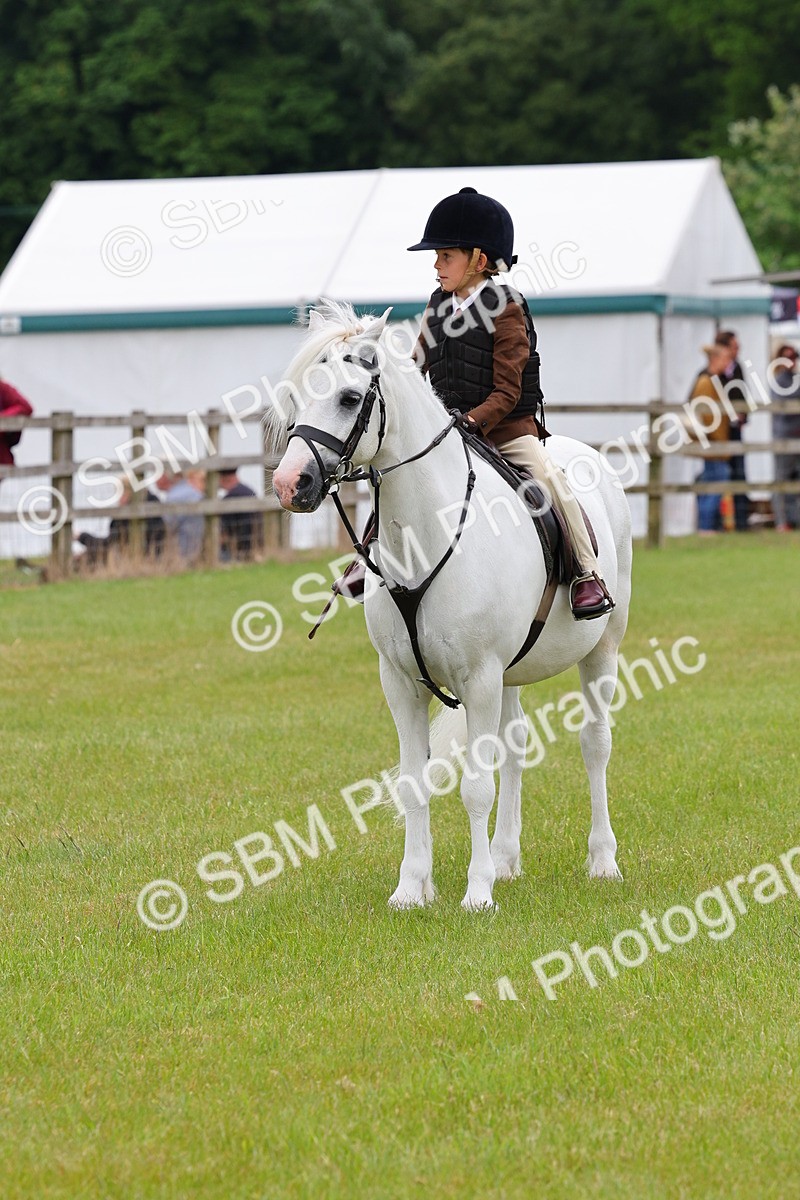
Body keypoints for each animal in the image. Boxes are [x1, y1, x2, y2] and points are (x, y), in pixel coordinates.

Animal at [269, 301, 632, 911]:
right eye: (297, 396)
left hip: (600, 649)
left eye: (348, 396)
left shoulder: (479, 677)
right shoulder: (402, 682)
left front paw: (477, 892)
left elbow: (475, 787)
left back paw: (602, 860)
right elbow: (414, 784)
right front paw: (412, 887)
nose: (290, 483)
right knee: (515, 747)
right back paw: (507, 859)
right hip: (510, 674)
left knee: (595, 745)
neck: (426, 534)